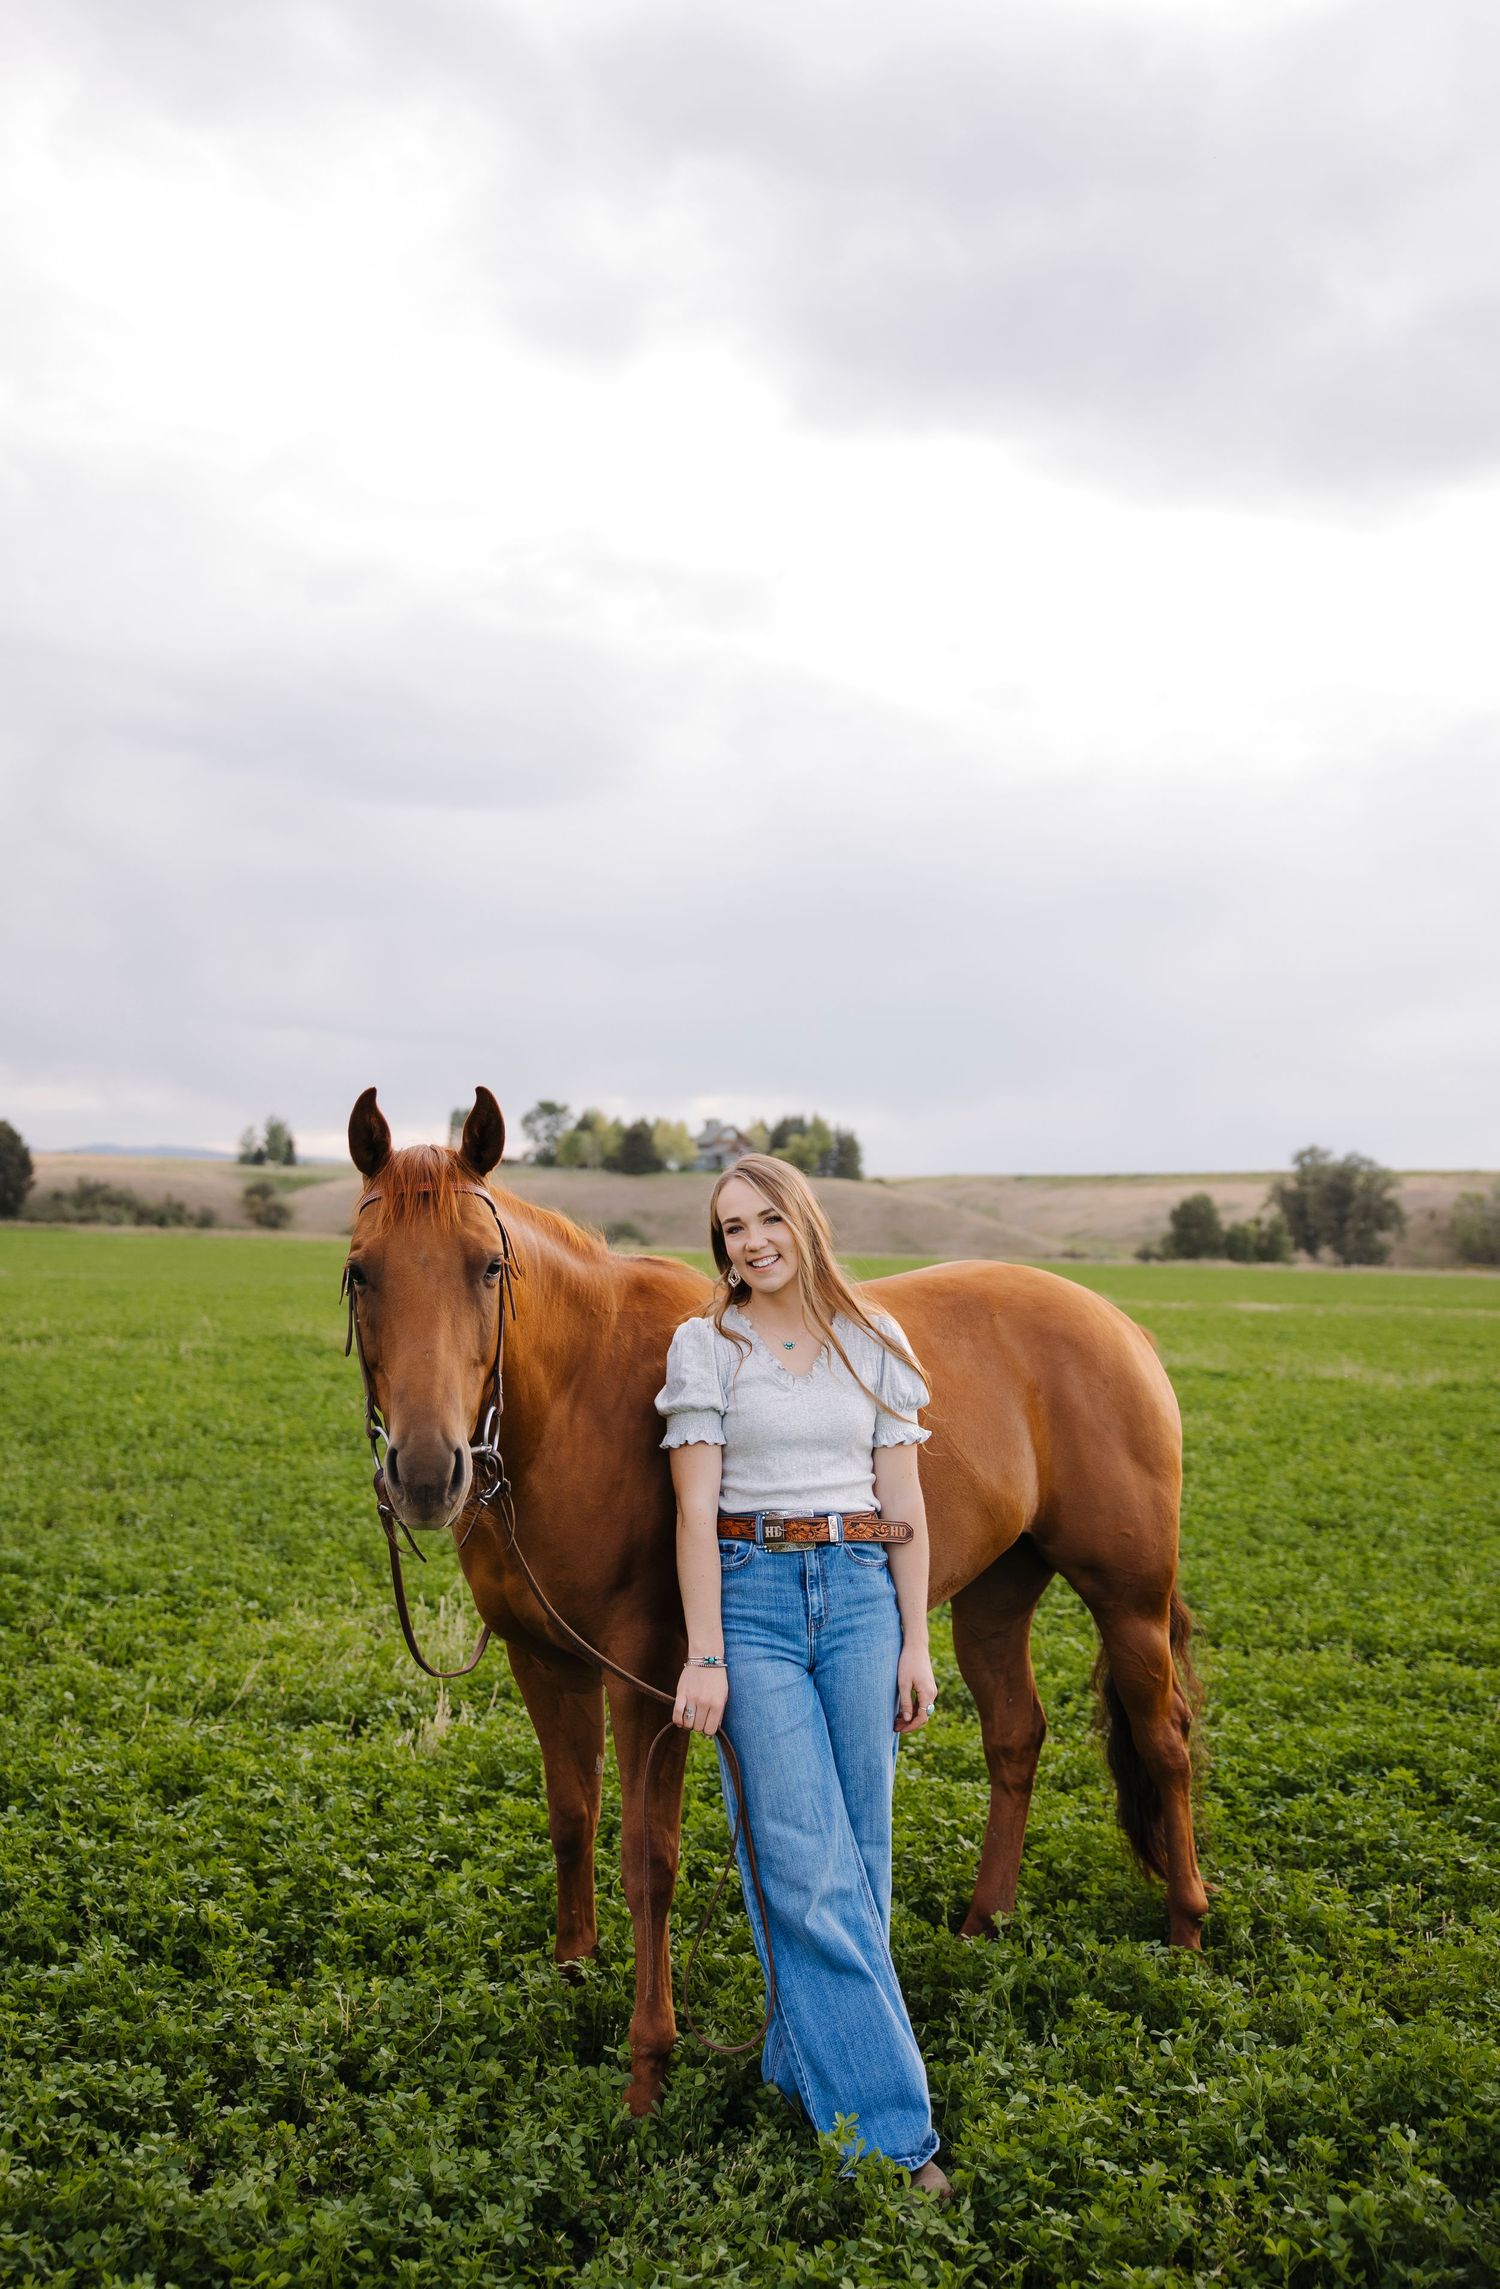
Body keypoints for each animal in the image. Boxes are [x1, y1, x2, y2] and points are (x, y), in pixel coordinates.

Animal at [342, 1086, 1208, 2117]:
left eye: (488, 1266)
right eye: (360, 1272)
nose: (428, 1471)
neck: (577, 1401)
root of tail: (1118, 1323)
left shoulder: (654, 1679)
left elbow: (649, 1858)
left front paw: (649, 2061)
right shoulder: (543, 1663)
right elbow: (571, 1819)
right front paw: (571, 1973)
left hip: (1130, 1599)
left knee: (1164, 1741)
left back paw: (1186, 1927)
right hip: (996, 1596)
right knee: (1015, 1736)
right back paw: (984, 1922)